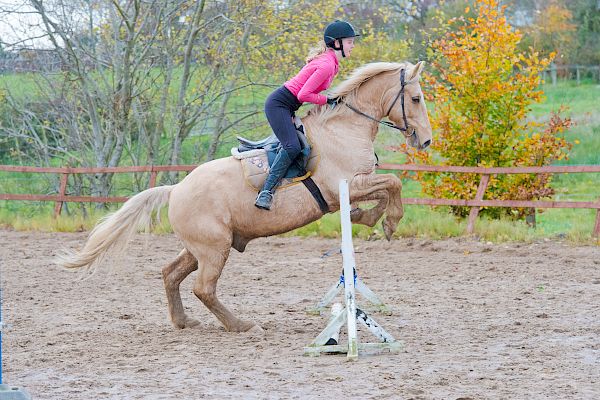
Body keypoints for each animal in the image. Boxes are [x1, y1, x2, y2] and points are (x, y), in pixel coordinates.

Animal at [58, 61, 434, 332]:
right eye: (416, 99)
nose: (426, 140)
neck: (344, 129)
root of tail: (175, 189)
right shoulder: (347, 185)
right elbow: (392, 183)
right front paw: (387, 222)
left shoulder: (355, 186)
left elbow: (386, 188)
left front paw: (369, 218)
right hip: (214, 247)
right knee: (203, 288)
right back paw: (241, 325)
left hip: (201, 247)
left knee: (170, 273)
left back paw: (184, 322)